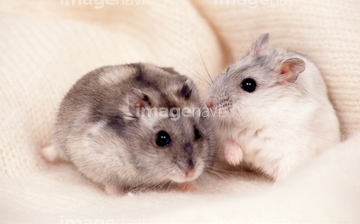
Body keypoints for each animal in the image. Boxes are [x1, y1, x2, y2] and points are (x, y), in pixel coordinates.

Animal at [205, 33, 340, 180]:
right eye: (228, 69)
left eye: (249, 85)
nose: (208, 103)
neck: (256, 117)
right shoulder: (221, 132)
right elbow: (229, 141)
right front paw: (235, 159)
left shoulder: (291, 155)